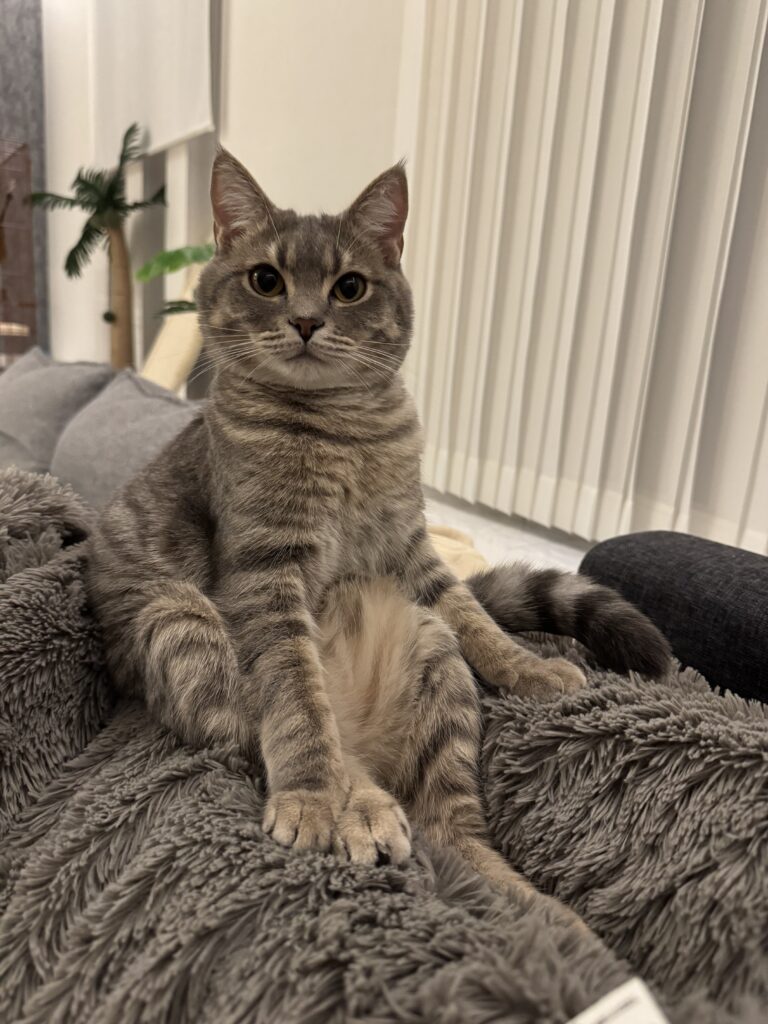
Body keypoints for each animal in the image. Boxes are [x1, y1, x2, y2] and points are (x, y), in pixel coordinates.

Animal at [86, 149, 670, 922]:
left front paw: (529, 667)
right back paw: (359, 805)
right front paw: (311, 797)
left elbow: (475, 615)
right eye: (266, 280)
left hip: (433, 658)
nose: (306, 320)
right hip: (181, 622)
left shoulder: (412, 548)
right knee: (301, 740)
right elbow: (297, 701)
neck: (345, 430)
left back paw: (548, 917)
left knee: (455, 832)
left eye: (350, 287)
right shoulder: (265, 574)